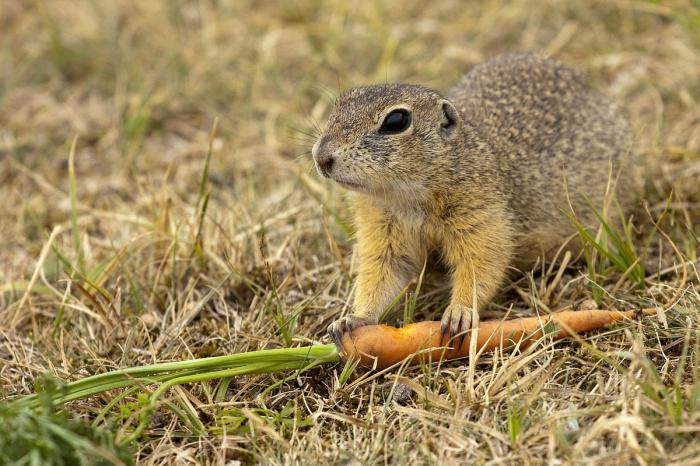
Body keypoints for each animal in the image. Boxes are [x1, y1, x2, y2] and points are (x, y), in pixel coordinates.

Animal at [314, 53, 636, 346]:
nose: (321, 156)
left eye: (396, 120)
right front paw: (352, 319)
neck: (406, 198)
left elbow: (480, 265)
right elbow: (380, 274)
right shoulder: (382, 230)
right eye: (339, 105)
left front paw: (458, 313)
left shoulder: (482, 216)